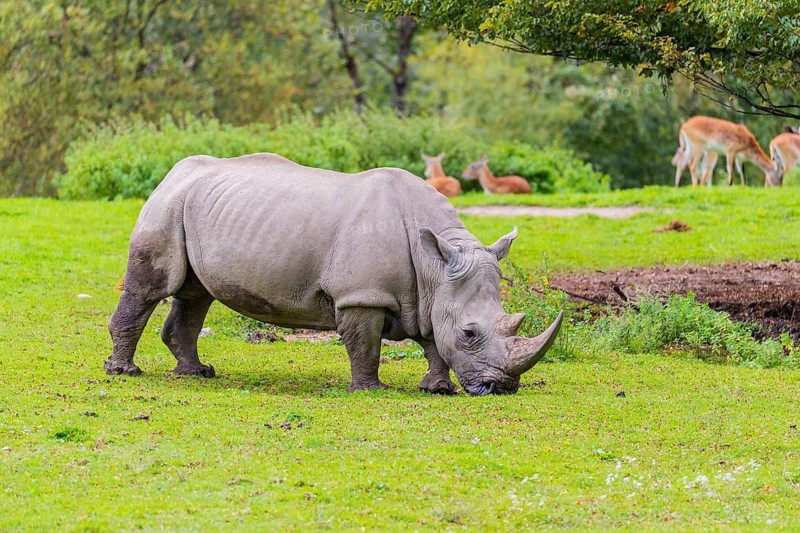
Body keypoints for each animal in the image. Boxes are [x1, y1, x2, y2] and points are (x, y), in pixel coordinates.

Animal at [105, 153, 563, 395]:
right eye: (470, 333)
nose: (503, 386)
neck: (435, 264)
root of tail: (174, 172)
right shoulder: (362, 294)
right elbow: (366, 344)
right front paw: (370, 390)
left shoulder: (431, 293)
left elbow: (433, 338)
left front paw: (437, 389)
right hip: (166, 206)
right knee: (153, 288)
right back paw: (125, 373)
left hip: (192, 207)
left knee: (195, 294)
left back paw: (197, 373)